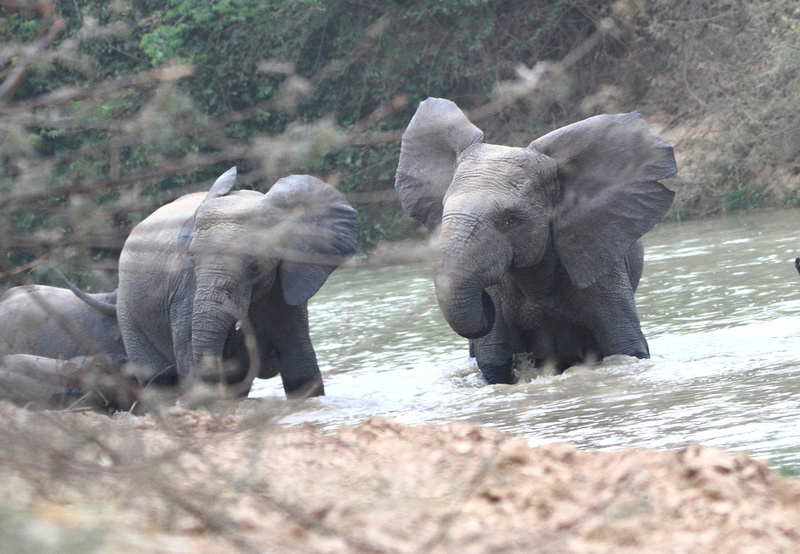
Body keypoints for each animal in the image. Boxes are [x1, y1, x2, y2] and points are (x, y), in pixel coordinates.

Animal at [115, 166, 356, 398]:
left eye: (255, 267)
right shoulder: (186, 290)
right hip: (128, 312)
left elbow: (300, 363)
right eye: (192, 259)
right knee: (157, 382)